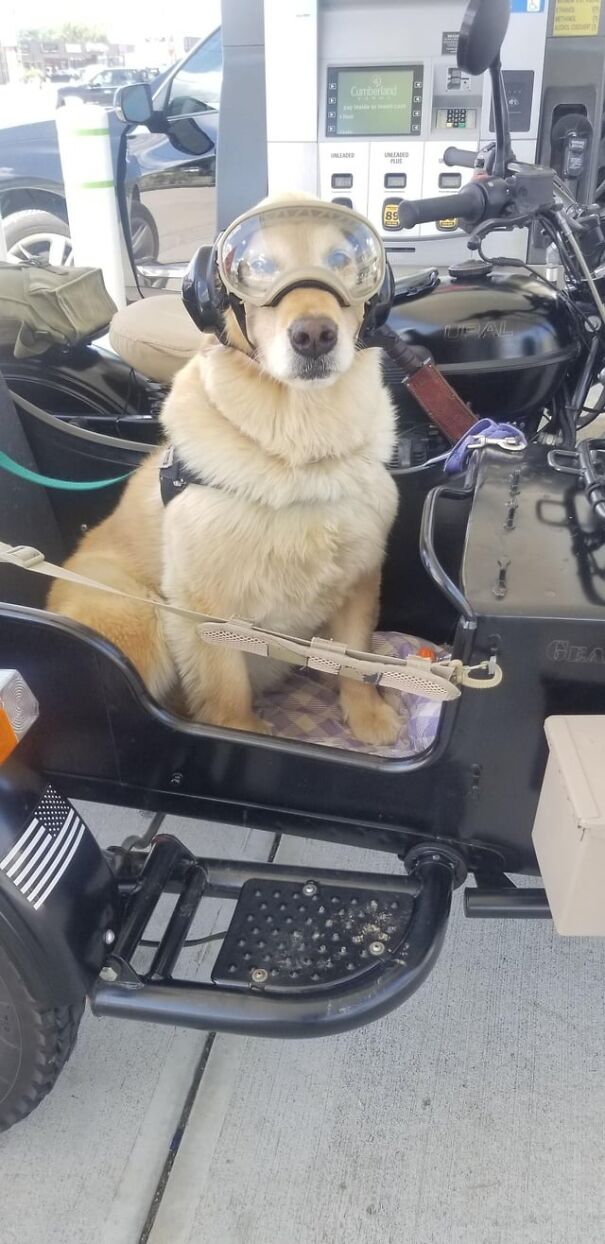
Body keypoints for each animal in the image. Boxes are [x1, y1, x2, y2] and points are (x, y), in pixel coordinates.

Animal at [48, 191, 400, 736]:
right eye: (257, 267)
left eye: (343, 261)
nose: (314, 334)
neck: (298, 451)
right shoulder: (204, 605)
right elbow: (225, 688)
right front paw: (242, 732)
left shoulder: (360, 578)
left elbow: (353, 657)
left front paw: (368, 716)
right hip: (140, 616)